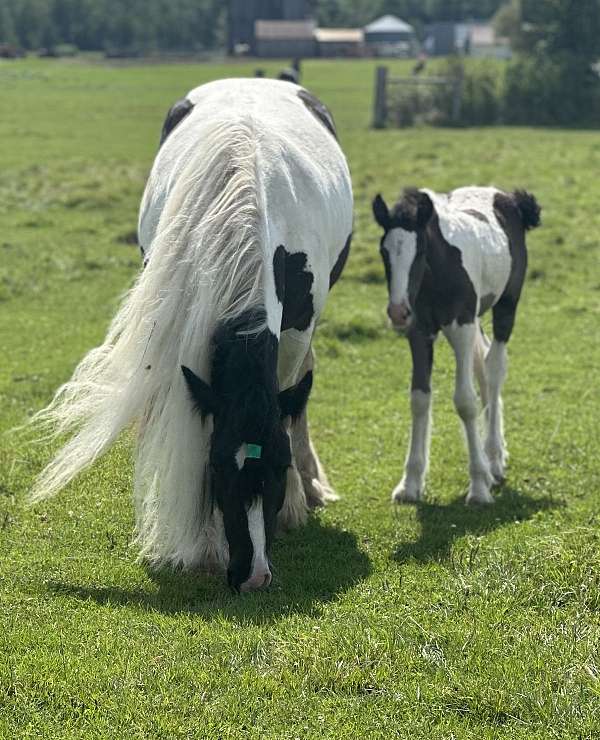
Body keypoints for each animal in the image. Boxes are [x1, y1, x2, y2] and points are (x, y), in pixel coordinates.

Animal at [31, 78, 352, 592]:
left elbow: (287, 403)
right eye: (216, 466)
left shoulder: (297, 328)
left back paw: (313, 486)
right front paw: (205, 543)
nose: (254, 574)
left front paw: (294, 501)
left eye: (278, 467)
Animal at [372, 188, 540, 506]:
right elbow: (419, 399)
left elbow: (464, 401)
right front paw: (410, 484)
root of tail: (507, 197)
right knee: (482, 366)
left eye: (420, 251)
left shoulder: (460, 326)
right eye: (383, 252)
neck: (439, 272)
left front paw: (478, 487)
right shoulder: (420, 332)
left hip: (505, 306)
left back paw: (493, 460)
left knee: (494, 369)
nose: (398, 312)